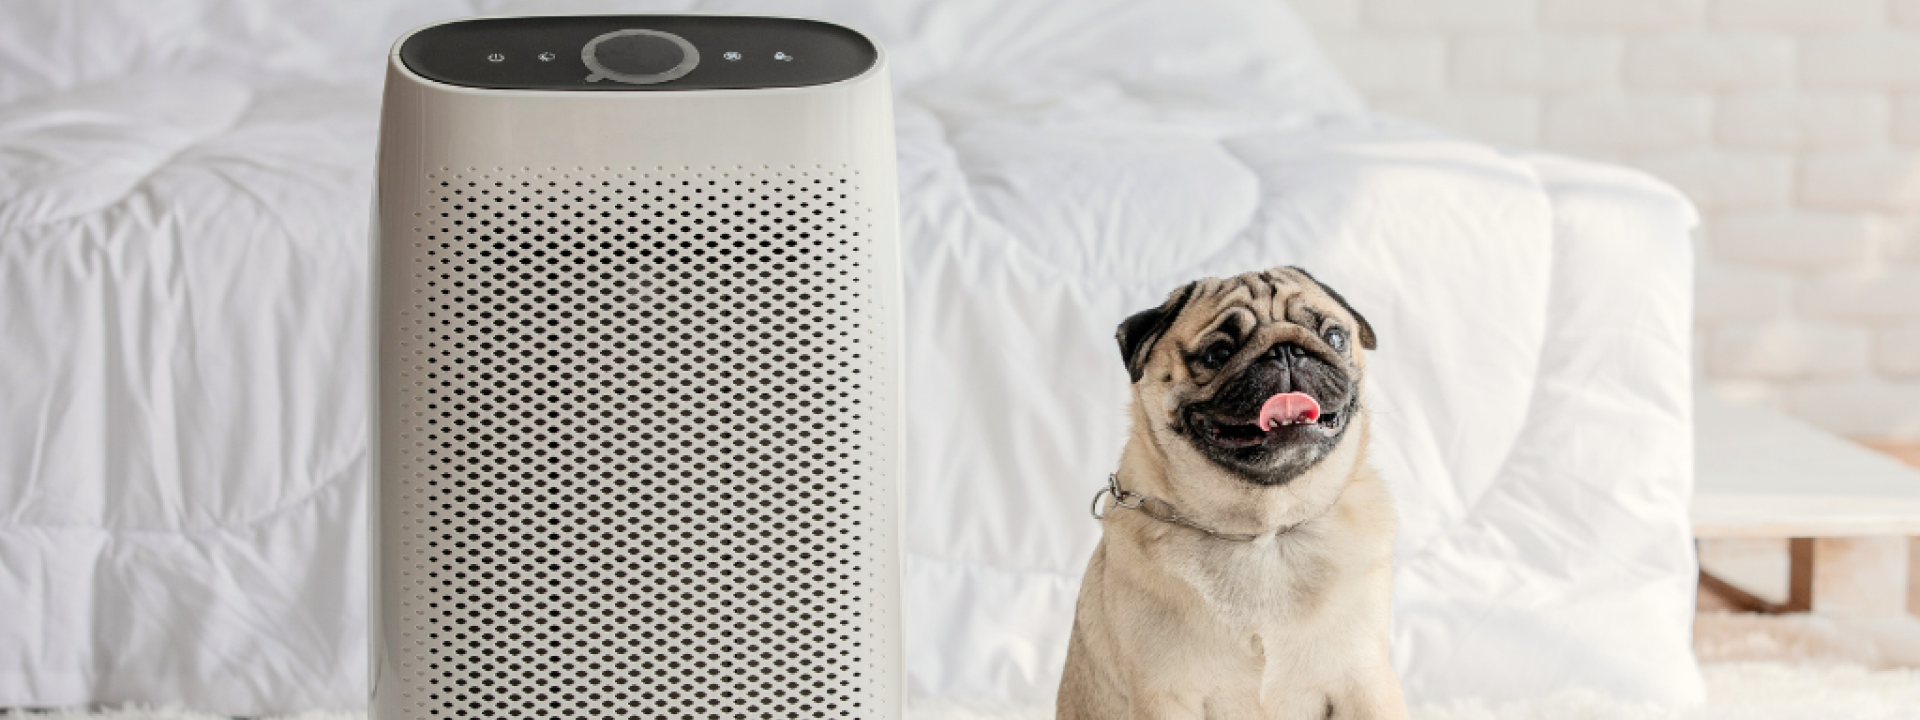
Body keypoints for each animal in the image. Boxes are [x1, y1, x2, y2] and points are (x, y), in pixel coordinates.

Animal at [1059, 270, 1405, 720]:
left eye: (1334, 337)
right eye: (1217, 353)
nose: (1286, 350)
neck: (1265, 532)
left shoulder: (1366, 682)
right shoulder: (1165, 695)